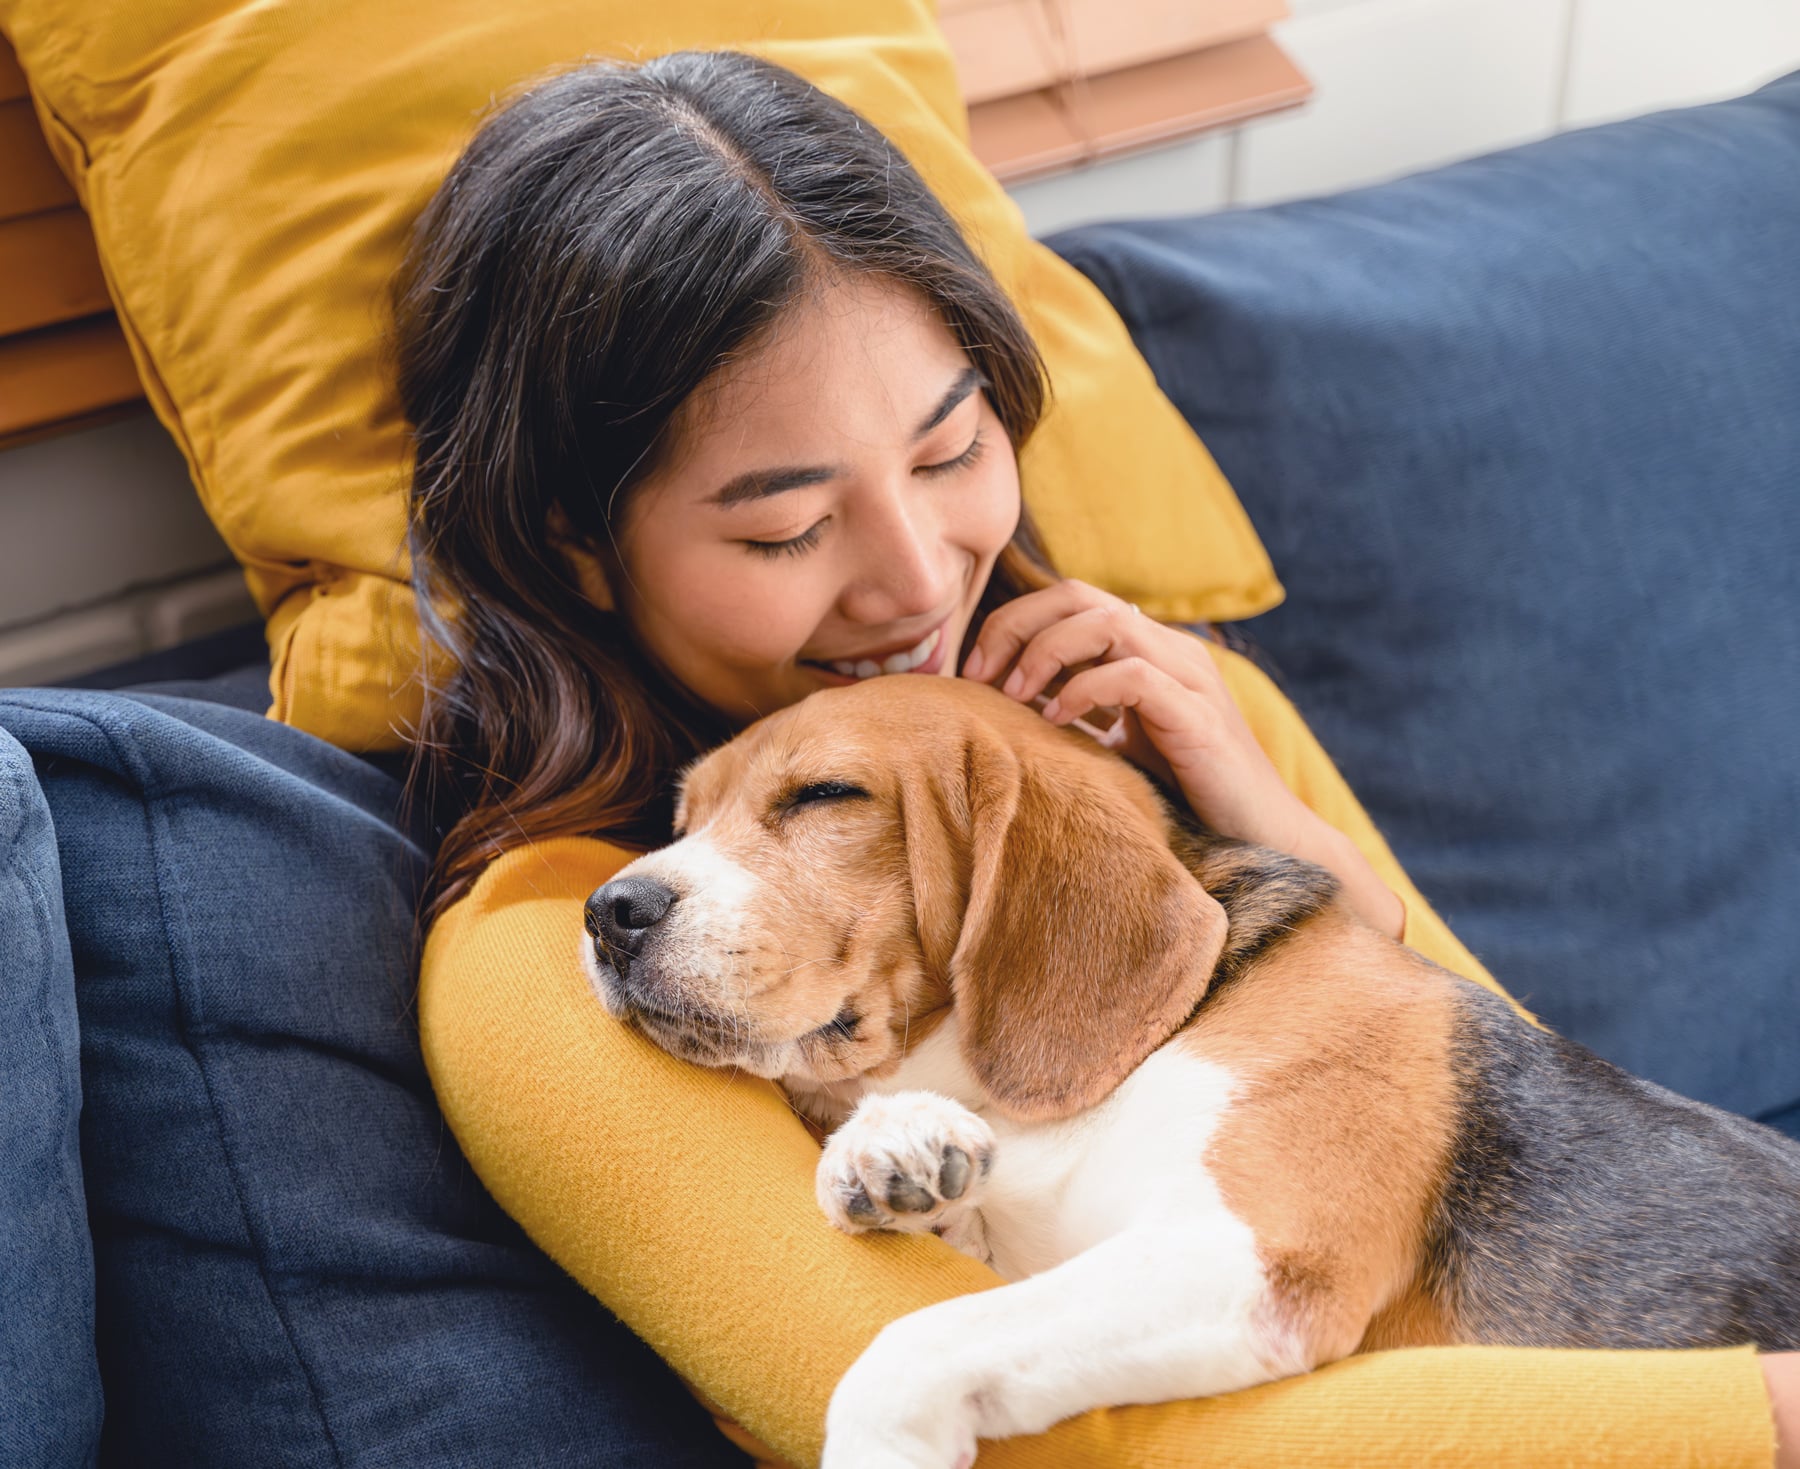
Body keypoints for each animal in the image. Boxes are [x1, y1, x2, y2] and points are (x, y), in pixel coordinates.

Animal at [576, 676, 1800, 1469]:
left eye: (826, 795)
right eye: (681, 818)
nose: (607, 909)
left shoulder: (1252, 1257)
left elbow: (913, 1343)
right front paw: (896, 1146)